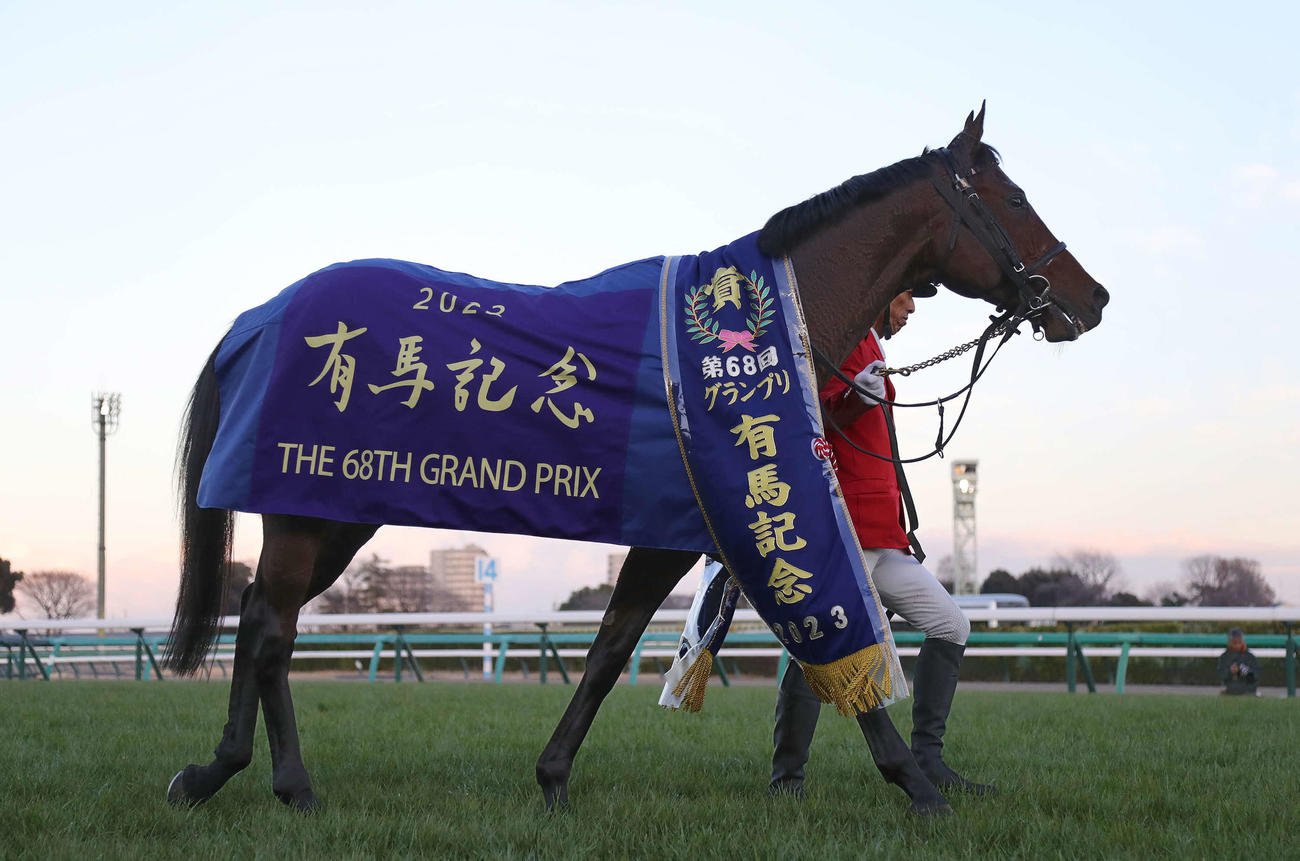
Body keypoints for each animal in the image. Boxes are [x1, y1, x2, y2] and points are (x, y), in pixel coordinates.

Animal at [163, 104, 1108, 815]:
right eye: (1011, 196)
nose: (1090, 298)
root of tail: (258, 317)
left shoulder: (712, 525)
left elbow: (621, 644)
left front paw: (551, 777)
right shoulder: (728, 518)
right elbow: (781, 640)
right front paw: (918, 786)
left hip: (336, 514)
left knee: (259, 613)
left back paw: (216, 769)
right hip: (307, 506)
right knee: (273, 628)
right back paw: (286, 782)